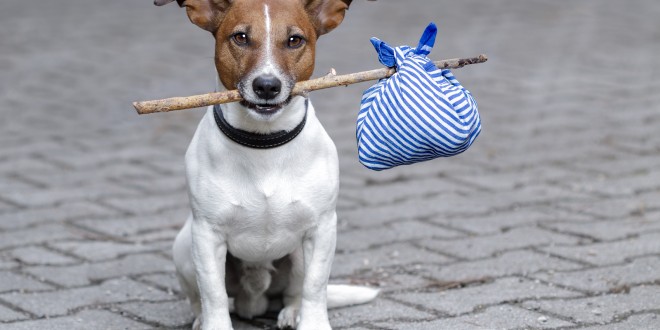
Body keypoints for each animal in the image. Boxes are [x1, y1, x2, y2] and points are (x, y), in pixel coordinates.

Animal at [155, 0, 378, 330]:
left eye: (295, 40)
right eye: (240, 38)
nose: (267, 86)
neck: (263, 143)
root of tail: (254, 301)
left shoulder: (322, 228)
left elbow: (315, 287)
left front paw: (312, 322)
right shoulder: (207, 235)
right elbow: (213, 294)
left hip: (297, 255)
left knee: (294, 293)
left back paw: (291, 313)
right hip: (184, 246)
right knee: (200, 299)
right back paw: (201, 319)